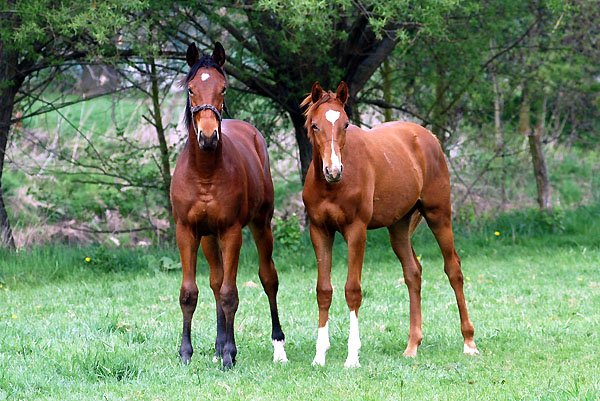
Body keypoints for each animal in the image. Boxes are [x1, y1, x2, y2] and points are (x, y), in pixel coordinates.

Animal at [170, 42, 288, 368]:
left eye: (223, 88)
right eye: (191, 90)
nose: (208, 137)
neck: (205, 173)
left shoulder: (232, 232)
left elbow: (229, 294)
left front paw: (229, 355)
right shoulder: (187, 231)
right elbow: (190, 293)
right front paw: (186, 353)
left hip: (261, 225)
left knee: (268, 278)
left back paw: (278, 346)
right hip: (209, 238)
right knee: (215, 281)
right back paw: (216, 344)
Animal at [302, 80, 480, 366]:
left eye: (346, 124)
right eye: (315, 125)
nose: (333, 170)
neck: (332, 187)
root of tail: (429, 138)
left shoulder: (356, 231)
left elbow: (353, 290)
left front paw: (352, 357)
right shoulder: (319, 231)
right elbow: (323, 291)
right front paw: (319, 356)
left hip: (438, 215)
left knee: (454, 270)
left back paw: (469, 342)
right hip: (398, 227)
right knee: (413, 273)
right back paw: (412, 345)